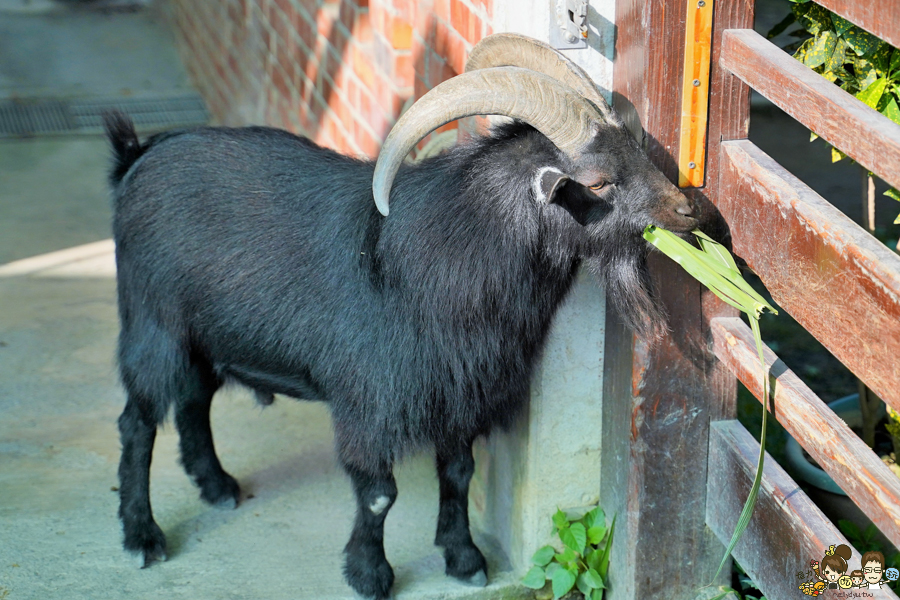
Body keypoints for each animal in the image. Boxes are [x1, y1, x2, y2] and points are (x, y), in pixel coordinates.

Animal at [105, 35, 696, 600]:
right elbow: (378, 496)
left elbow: (458, 474)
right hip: (152, 326)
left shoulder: (460, 395)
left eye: (636, 148)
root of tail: (135, 158)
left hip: (201, 335)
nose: (687, 211)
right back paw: (142, 537)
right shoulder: (369, 403)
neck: (446, 253)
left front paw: (464, 559)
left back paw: (217, 486)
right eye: (597, 182)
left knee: (193, 399)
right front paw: (370, 575)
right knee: (138, 422)